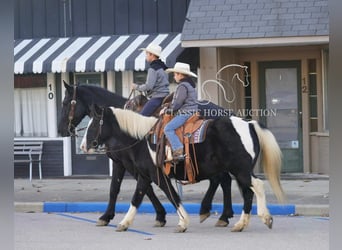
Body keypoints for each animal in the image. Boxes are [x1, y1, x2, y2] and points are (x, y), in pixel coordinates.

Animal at [58, 82, 235, 229]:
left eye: (65, 103)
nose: (61, 130)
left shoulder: (123, 162)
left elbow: (123, 188)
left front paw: (107, 216)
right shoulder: (132, 164)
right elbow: (131, 187)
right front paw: (160, 216)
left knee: (221, 179)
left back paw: (217, 214)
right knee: (223, 180)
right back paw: (222, 215)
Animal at [82, 104, 286, 232]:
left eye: (94, 124)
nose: (83, 145)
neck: (142, 140)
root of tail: (249, 124)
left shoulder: (157, 175)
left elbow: (172, 195)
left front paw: (182, 222)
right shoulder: (145, 176)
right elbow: (137, 197)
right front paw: (124, 223)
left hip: (241, 170)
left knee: (255, 186)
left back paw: (264, 217)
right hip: (239, 171)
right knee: (246, 191)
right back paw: (239, 224)